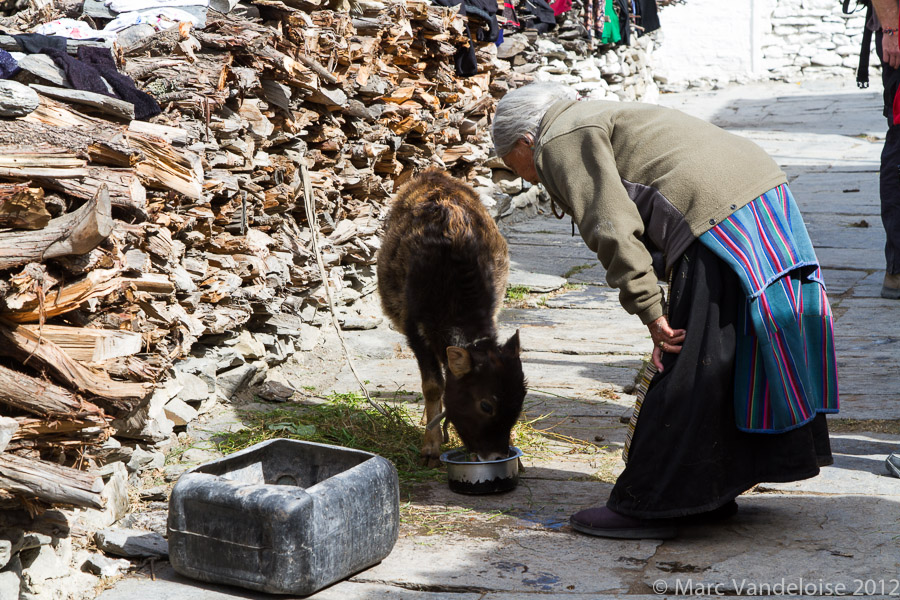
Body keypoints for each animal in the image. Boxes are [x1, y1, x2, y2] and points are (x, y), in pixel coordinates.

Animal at [374, 170, 528, 468]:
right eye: (486, 405)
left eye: (520, 401)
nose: (497, 455)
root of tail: (434, 173)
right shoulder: (414, 330)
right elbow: (434, 386)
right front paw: (430, 448)